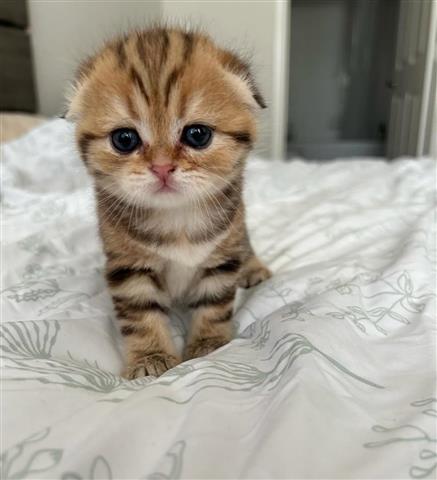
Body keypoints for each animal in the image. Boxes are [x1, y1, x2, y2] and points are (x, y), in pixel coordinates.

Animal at [67, 27, 270, 378]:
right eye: (124, 139)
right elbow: (140, 314)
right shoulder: (128, 265)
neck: (177, 219)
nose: (162, 167)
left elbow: (214, 303)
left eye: (197, 134)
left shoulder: (222, 255)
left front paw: (209, 345)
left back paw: (254, 268)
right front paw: (150, 358)